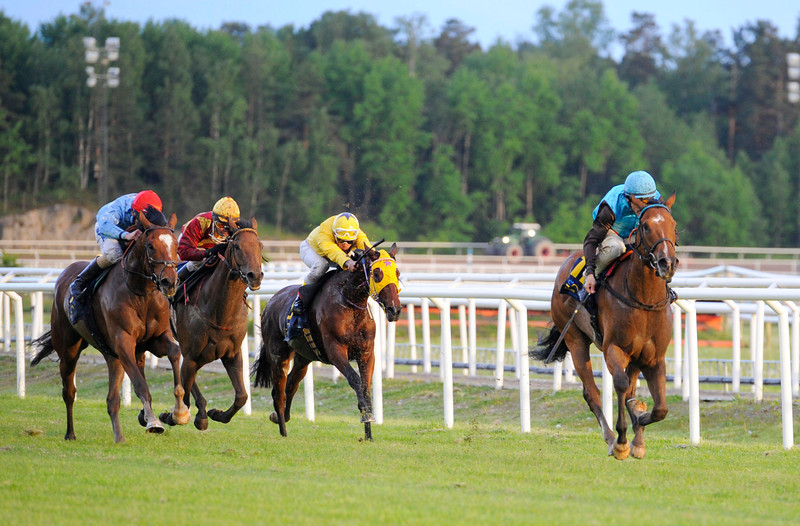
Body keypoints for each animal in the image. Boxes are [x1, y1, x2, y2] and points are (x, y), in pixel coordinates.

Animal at [30, 207, 191, 446]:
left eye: (175, 245)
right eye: (151, 245)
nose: (170, 282)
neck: (141, 294)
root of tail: (65, 274)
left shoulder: (155, 338)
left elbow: (174, 352)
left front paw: (179, 412)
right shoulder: (123, 342)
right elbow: (141, 385)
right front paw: (154, 421)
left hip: (114, 355)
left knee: (112, 398)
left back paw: (120, 434)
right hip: (69, 349)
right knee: (69, 391)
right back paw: (72, 433)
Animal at [159, 221, 262, 432]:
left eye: (260, 246)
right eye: (237, 246)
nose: (255, 276)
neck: (220, 312)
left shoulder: (232, 354)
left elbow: (242, 396)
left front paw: (217, 414)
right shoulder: (192, 355)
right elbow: (185, 391)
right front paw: (173, 416)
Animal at [253, 245, 404, 444]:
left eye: (397, 272)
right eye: (378, 273)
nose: (395, 310)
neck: (351, 304)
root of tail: (271, 302)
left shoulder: (366, 353)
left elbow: (365, 387)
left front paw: (369, 434)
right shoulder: (335, 350)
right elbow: (355, 379)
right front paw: (365, 415)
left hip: (303, 357)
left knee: (291, 384)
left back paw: (280, 417)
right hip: (278, 355)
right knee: (278, 392)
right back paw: (283, 431)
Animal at [536, 195, 680, 462]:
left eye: (673, 224)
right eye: (645, 226)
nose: (667, 262)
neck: (644, 301)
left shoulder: (654, 357)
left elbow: (660, 408)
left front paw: (638, 428)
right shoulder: (614, 348)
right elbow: (620, 385)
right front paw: (623, 441)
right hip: (575, 338)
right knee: (591, 392)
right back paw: (612, 439)